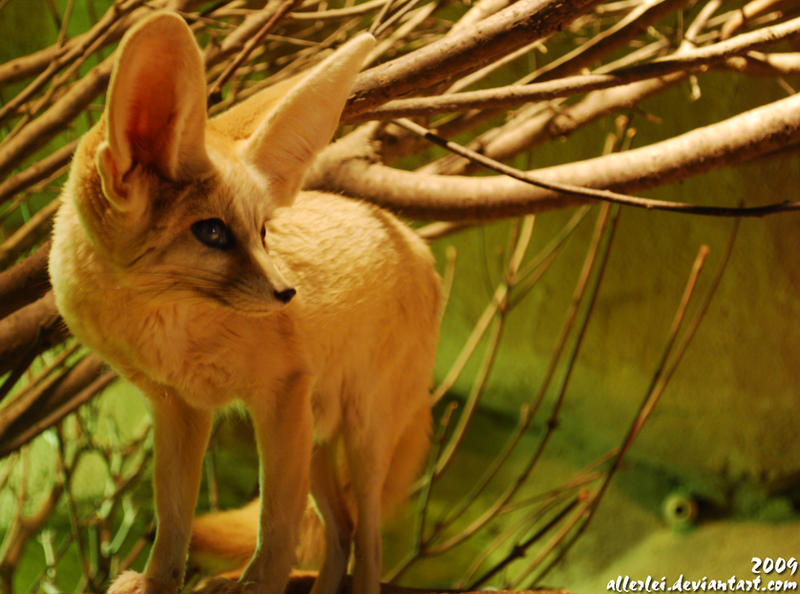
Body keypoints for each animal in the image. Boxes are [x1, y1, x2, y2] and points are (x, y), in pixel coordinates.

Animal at [48, 11, 440, 594]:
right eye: (212, 233)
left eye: (262, 232)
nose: (287, 293)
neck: (165, 333)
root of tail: (416, 242)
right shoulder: (180, 408)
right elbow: (172, 520)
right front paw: (157, 581)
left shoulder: (279, 395)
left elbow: (275, 530)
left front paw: (257, 583)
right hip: (316, 441)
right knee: (341, 535)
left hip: (361, 438)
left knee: (368, 546)